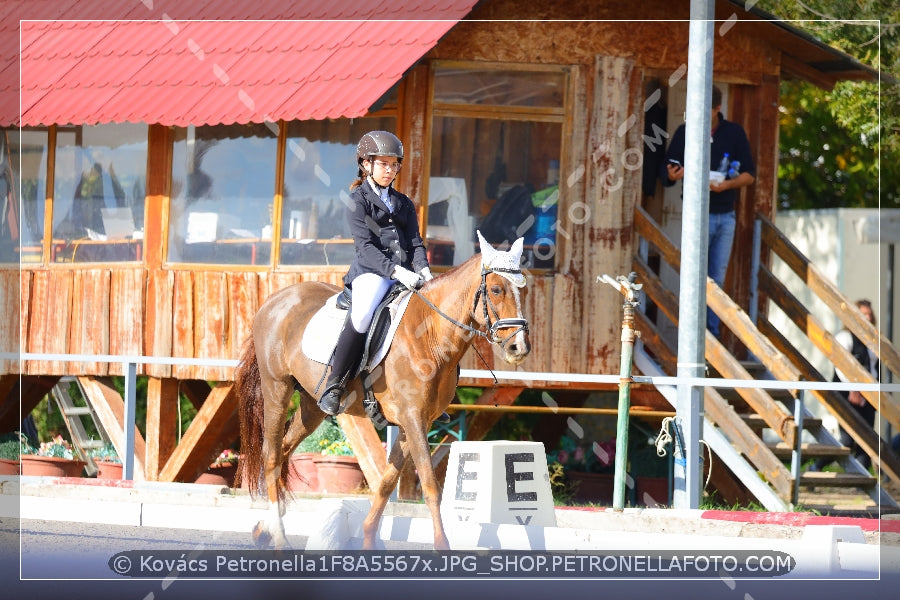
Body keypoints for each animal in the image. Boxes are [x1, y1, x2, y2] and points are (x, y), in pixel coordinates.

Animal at [236, 233, 532, 548]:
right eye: (497, 289)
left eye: (523, 290)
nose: (519, 348)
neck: (430, 336)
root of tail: (274, 300)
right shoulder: (413, 419)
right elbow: (430, 485)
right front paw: (442, 547)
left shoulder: (415, 422)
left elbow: (387, 483)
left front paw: (368, 539)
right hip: (276, 389)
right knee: (270, 454)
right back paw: (280, 537)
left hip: (310, 406)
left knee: (284, 449)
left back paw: (265, 529)